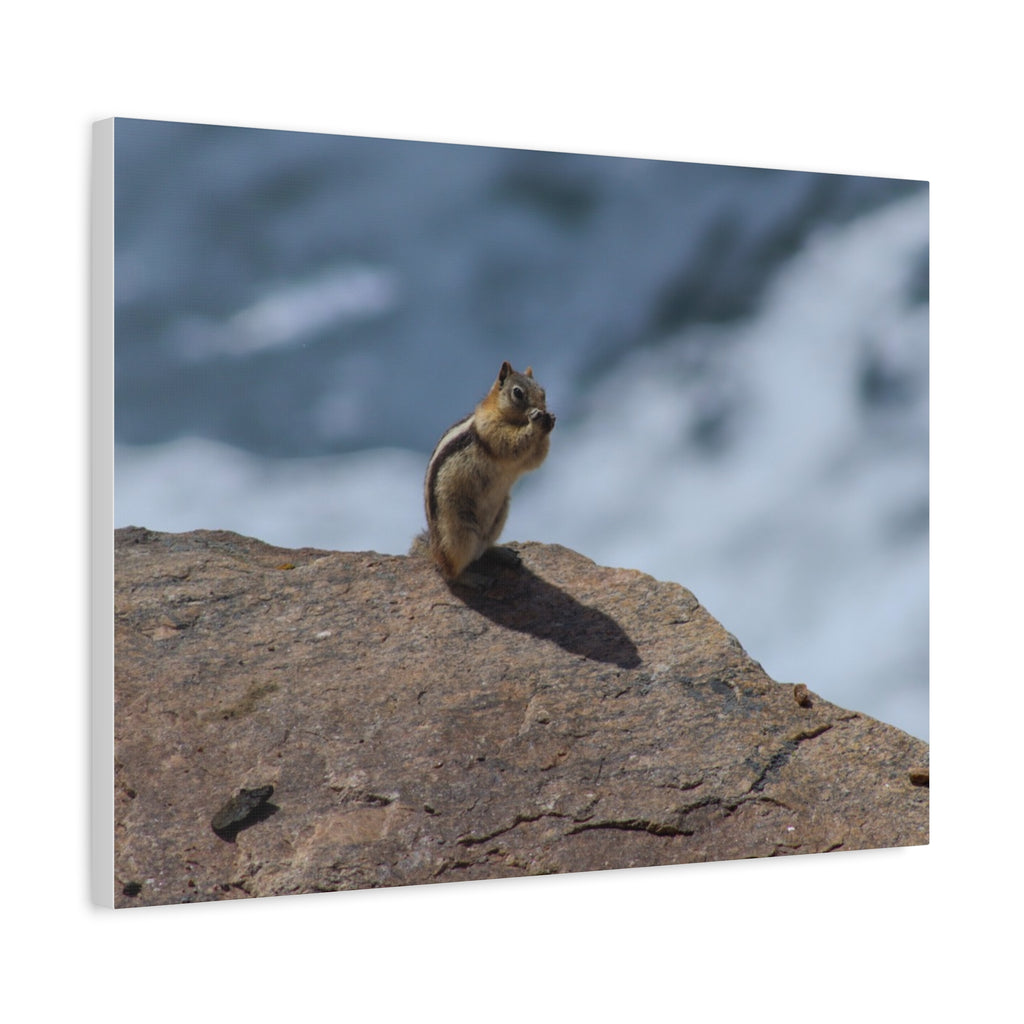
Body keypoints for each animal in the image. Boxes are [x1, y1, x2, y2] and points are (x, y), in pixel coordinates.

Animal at [418, 361, 555, 582]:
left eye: (543, 392)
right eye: (518, 392)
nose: (542, 409)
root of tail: (434, 550)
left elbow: (535, 459)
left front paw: (549, 421)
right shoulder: (491, 430)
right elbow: (512, 444)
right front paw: (536, 422)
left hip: (498, 518)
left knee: (482, 549)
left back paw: (502, 553)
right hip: (459, 534)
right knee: (449, 571)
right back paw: (473, 579)